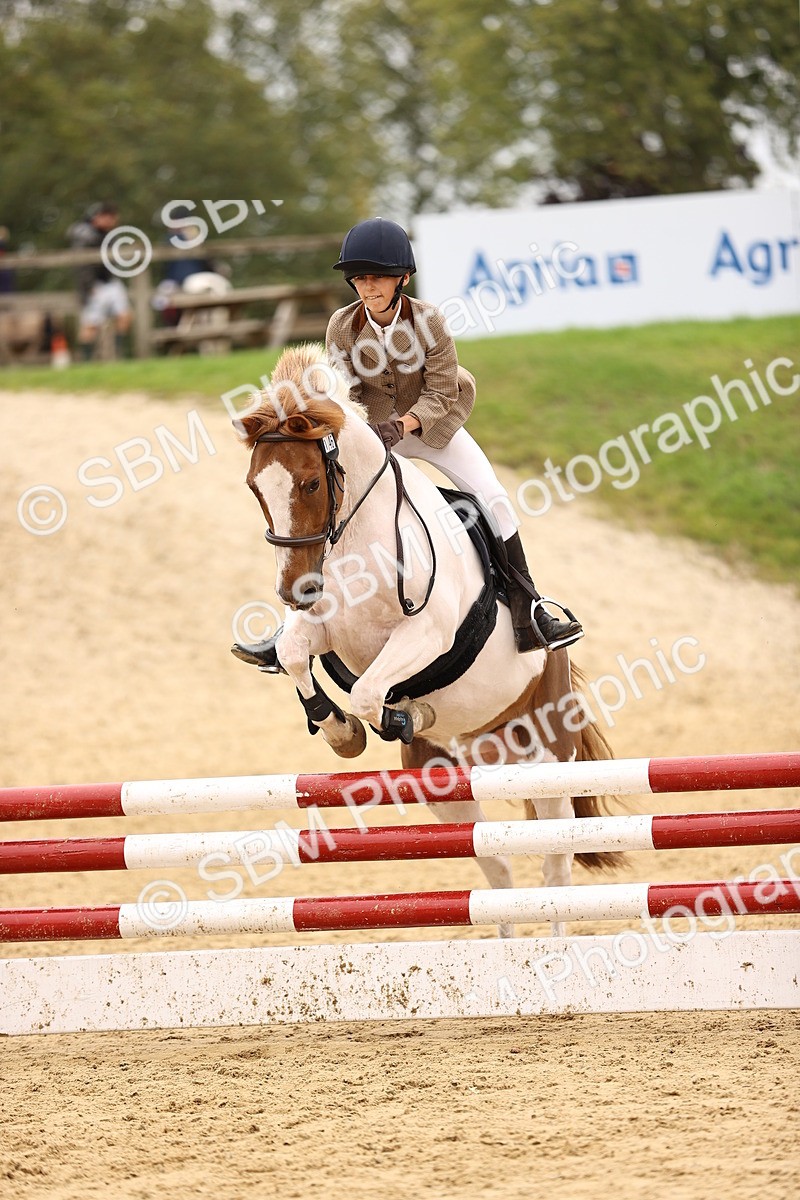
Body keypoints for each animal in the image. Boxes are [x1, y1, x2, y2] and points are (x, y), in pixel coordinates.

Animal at [234, 344, 621, 935]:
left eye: (310, 484)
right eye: (257, 488)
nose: (293, 591)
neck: (358, 534)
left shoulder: (425, 634)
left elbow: (369, 692)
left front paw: (397, 717)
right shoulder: (328, 629)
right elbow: (294, 654)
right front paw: (340, 731)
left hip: (549, 760)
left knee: (555, 868)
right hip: (450, 783)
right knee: (497, 869)